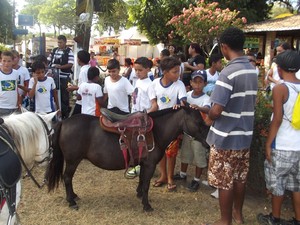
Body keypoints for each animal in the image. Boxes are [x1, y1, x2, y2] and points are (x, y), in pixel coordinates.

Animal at [47, 107, 209, 211]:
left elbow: (142, 181)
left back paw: (74, 196)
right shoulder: (149, 165)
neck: (156, 131)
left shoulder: (144, 164)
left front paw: (139, 195)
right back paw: (71, 201)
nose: (208, 144)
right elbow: (146, 184)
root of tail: (64, 122)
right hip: (72, 161)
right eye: (198, 122)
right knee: (67, 178)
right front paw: (146, 205)